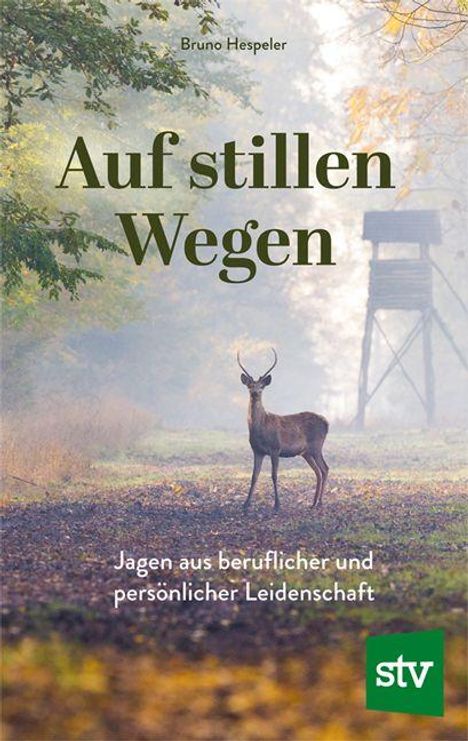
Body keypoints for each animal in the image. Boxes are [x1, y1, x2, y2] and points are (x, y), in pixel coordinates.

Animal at [237, 349, 329, 513]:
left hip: (316, 446)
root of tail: (327, 423)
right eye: (249, 386)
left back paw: (319, 502)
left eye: (262, 386)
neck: (261, 429)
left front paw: (277, 505)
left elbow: (274, 475)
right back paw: (313, 502)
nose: (255, 393)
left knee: (325, 468)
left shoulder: (275, 448)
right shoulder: (257, 450)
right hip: (306, 452)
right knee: (318, 471)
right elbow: (254, 476)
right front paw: (246, 504)